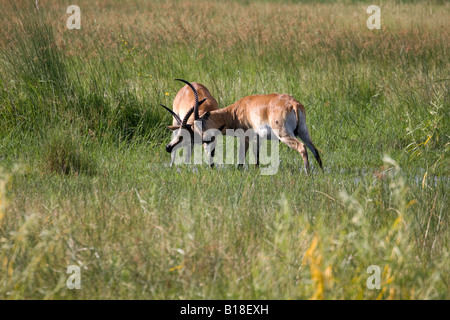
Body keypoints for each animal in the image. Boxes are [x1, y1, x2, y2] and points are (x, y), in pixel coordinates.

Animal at [163, 79, 322, 174]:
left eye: (190, 130)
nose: (168, 147)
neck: (236, 111)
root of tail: (293, 104)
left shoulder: (244, 137)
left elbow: (241, 158)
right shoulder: (258, 139)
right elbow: (256, 158)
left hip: (284, 135)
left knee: (302, 147)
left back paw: (307, 173)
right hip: (303, 131)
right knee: (315, 149)